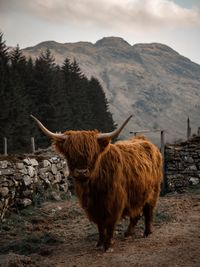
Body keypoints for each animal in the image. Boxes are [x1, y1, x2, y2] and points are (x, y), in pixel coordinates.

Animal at [30, 114, 162, 251]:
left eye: (93, 155)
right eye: (70, 155)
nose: (81, 172)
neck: (93, 188)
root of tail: (143, 140)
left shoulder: (114, 202)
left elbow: (110, 224)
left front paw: (108, 244)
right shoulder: (93, 207)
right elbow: (100, 225)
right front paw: (100, 242)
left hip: (153, 192)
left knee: (148, 211)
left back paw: (147, 232)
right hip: (137, 194)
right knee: (136, 213)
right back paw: (128, 233)